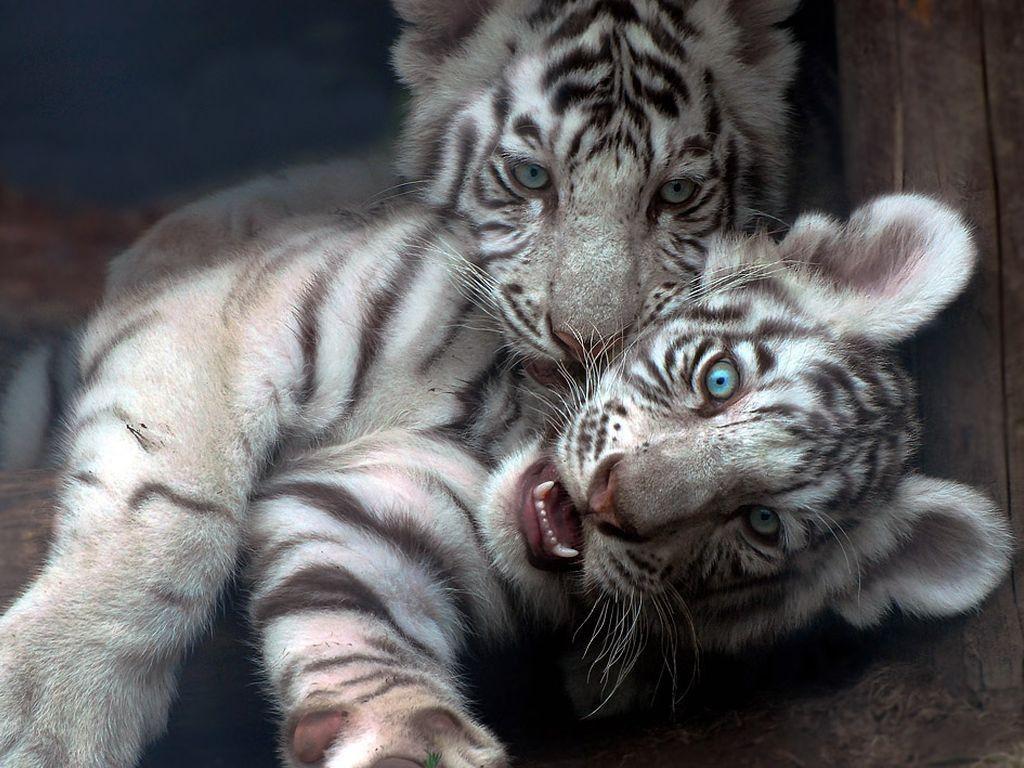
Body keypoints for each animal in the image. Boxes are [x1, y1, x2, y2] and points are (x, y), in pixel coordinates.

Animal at [0, 191, 1011, 768]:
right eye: (720, 381)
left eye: (760, 524)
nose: (613, 505)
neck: (498, 430)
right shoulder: (239, 316)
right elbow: (167, 516)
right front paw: (48, 711)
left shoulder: (382, 516)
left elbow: (353, 617)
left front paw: (402, 737)